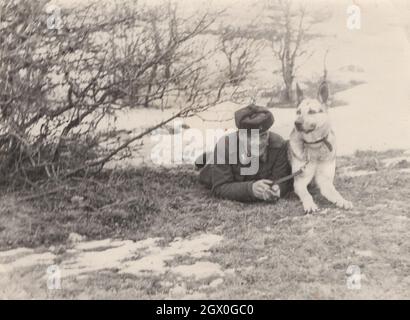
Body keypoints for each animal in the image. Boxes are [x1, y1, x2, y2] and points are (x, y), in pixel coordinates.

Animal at [288, 82, 352, 212]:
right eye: (298, 112)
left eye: (312, 112)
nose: (297, 123)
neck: (315, 146)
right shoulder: (300, 181)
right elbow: (306, 195)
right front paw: (310, 204)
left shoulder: (325, 181)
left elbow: (335, 193)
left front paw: (343, 201)